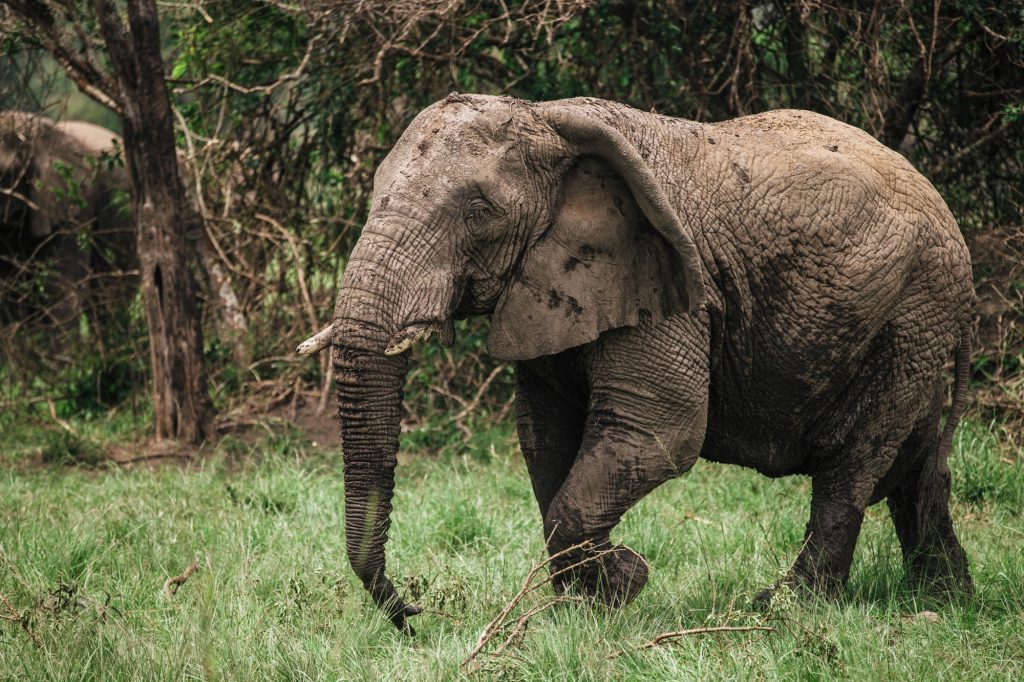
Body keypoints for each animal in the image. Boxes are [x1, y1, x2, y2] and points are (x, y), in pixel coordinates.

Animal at [298, 93, 975, 635]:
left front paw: (621, 584)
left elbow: (661, 430)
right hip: (913, 327)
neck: (548, 121)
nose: (412, 615)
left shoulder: (675, 286)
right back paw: (946, 599)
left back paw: (784, 609)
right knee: (914, 468)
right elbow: (544, 439)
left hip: (913, 312)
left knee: (851, 466)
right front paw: (582, 606)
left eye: (478, 211)